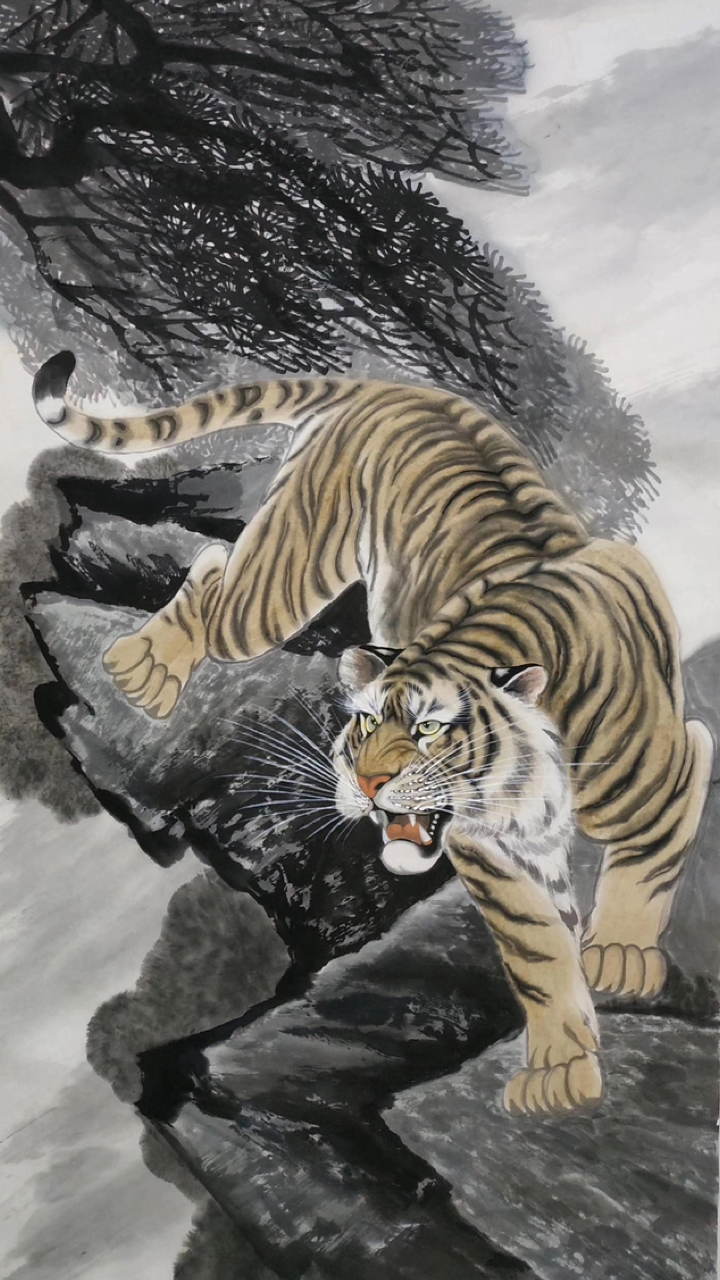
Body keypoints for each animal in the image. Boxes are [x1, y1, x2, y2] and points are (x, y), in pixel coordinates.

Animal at [33, 350, 713, 1116]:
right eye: (361, 722)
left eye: (430, 729)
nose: (365, 784)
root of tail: (392, 387)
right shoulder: (487, 848)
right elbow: (535, 948)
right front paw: (560, 1067)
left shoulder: (668, 768)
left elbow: (650, 851)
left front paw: (620, 958)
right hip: (281, 584)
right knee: (211, 573)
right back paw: (141, 667)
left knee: (210, 568)